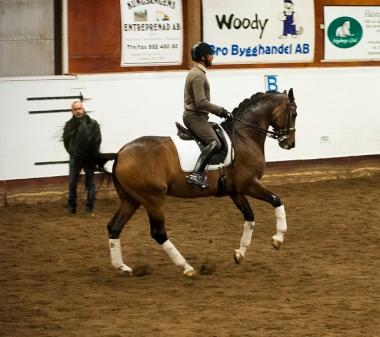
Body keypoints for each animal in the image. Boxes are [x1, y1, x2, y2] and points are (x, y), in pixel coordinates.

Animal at [106, 88, 296, 276]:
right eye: (294, 113)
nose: (290, 144)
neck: (243, 136)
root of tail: (121, 153)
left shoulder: (235, 190)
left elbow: (250, 217)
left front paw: (240, 253)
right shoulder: (249, 183)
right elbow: (277, 200)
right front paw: (278, 239)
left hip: (131, 199)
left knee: (114, 227)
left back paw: (122, 267)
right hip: (152, 199)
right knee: (158, 233)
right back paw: (186, 267)